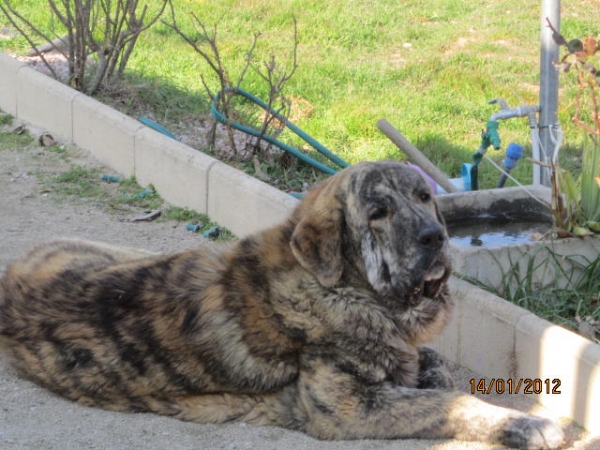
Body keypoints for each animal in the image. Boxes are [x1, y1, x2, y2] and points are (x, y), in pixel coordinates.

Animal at [0, 161, 564, 446]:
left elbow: (434, 366)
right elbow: (450, 401)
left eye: (424, 198)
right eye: (378, 212)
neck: (341, 286)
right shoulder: (350, 408)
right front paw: (527, 424)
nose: (435, 237)